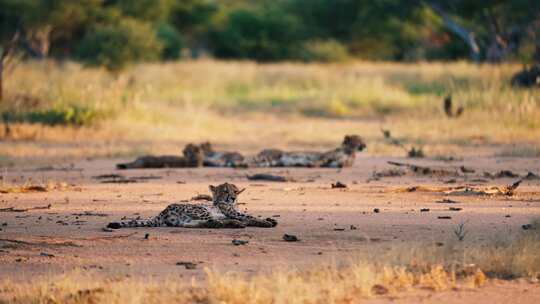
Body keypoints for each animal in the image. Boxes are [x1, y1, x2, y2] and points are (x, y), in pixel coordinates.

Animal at [106, 182, 278, 229]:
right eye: (225, 191)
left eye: (235, 191)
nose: (233, 198)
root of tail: (162, 211)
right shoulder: (232, 211)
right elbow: (249, 216)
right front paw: (265, 222)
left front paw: (270, 219)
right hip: (200, 210)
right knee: (214, 220)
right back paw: (236, 224)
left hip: (189, 219)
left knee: (202, 223)